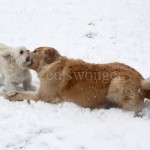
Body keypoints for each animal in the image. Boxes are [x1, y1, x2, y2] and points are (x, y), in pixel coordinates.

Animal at [3, 47, 150, 116]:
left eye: (34, 51)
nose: (27, 50)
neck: (51, 64)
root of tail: (142, 81)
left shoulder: (44, 97)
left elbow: (21, 95)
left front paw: (6, 94)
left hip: (117, 82)